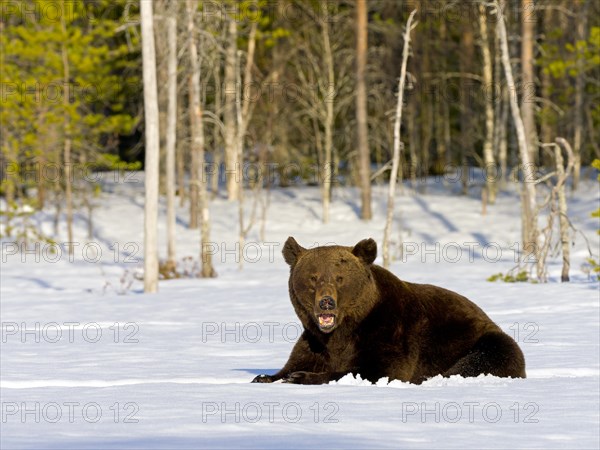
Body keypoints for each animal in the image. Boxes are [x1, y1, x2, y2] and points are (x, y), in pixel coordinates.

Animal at [252, 237, 524, 384]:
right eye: (313, 277)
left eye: (339, 278)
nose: (326, 302)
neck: (342, 331)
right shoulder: (315, 342)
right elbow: (296, 360)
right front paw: (265, 376)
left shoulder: (389, 331)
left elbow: (376, 370)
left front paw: (301, 376)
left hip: (485, 341)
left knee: (482, 360)